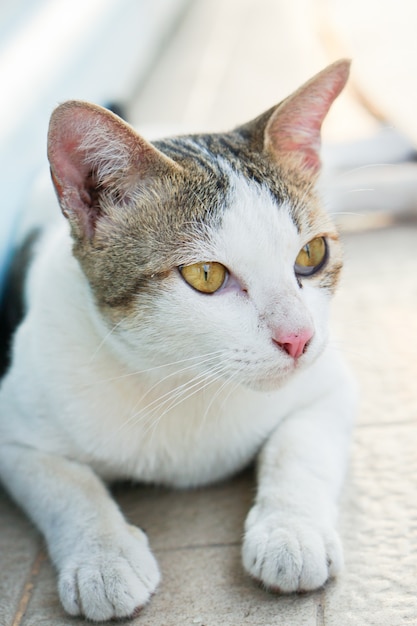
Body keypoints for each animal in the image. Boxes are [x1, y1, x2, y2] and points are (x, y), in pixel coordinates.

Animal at [0, 59, 356, 620]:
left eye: (311, 254)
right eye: (206, 275)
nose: (298, 338)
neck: (184, 379)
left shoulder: (330, 385)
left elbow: (300, 446)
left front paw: (291, 531)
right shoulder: (14, 432)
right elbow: (66, 485)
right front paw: (103, 557)